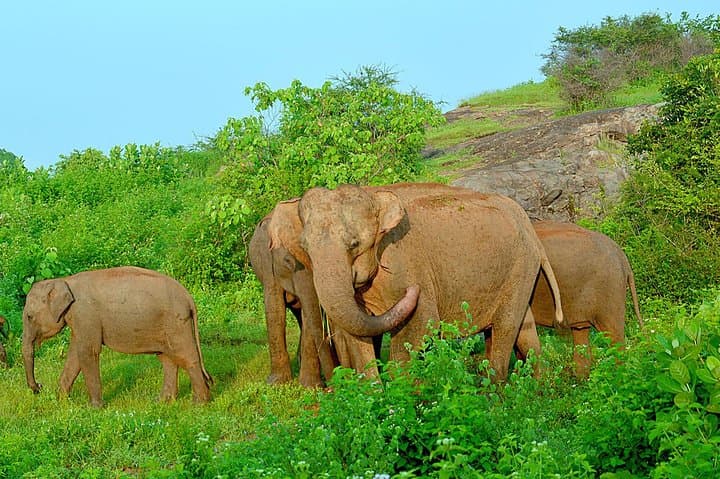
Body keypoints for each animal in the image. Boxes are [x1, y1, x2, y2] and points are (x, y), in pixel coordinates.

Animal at [22, 266, 213, 407]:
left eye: (29, 317)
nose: (39, 387)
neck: (65, 280)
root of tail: (189, 298)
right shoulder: (80, 320)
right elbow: (75, 354)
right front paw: (61, 402)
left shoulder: (85, 314)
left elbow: (87, 352)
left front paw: (94, 408)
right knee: (167, 358)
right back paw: (162, 402)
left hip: (176, 323)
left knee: (186, 357)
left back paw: (199, 404)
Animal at [249, 212, 337, 387]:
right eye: (288, 261)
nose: (330, 387)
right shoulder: (268, 267)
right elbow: (275, 309)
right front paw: (276, 383)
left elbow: (309, 313)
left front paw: (310, 387)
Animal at [268, 182, 564, 381]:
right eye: (305, 248)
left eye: (354, 244)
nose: (413, 291)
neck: (374, 194)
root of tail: (528, 223)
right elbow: (355, 335)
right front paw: (375, 402)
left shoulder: (408, 265)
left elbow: (420, 325)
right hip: (518, 270)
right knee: (524, 329)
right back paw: (538, 386)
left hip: (521, 265)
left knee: (506, 326)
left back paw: (495, 394)